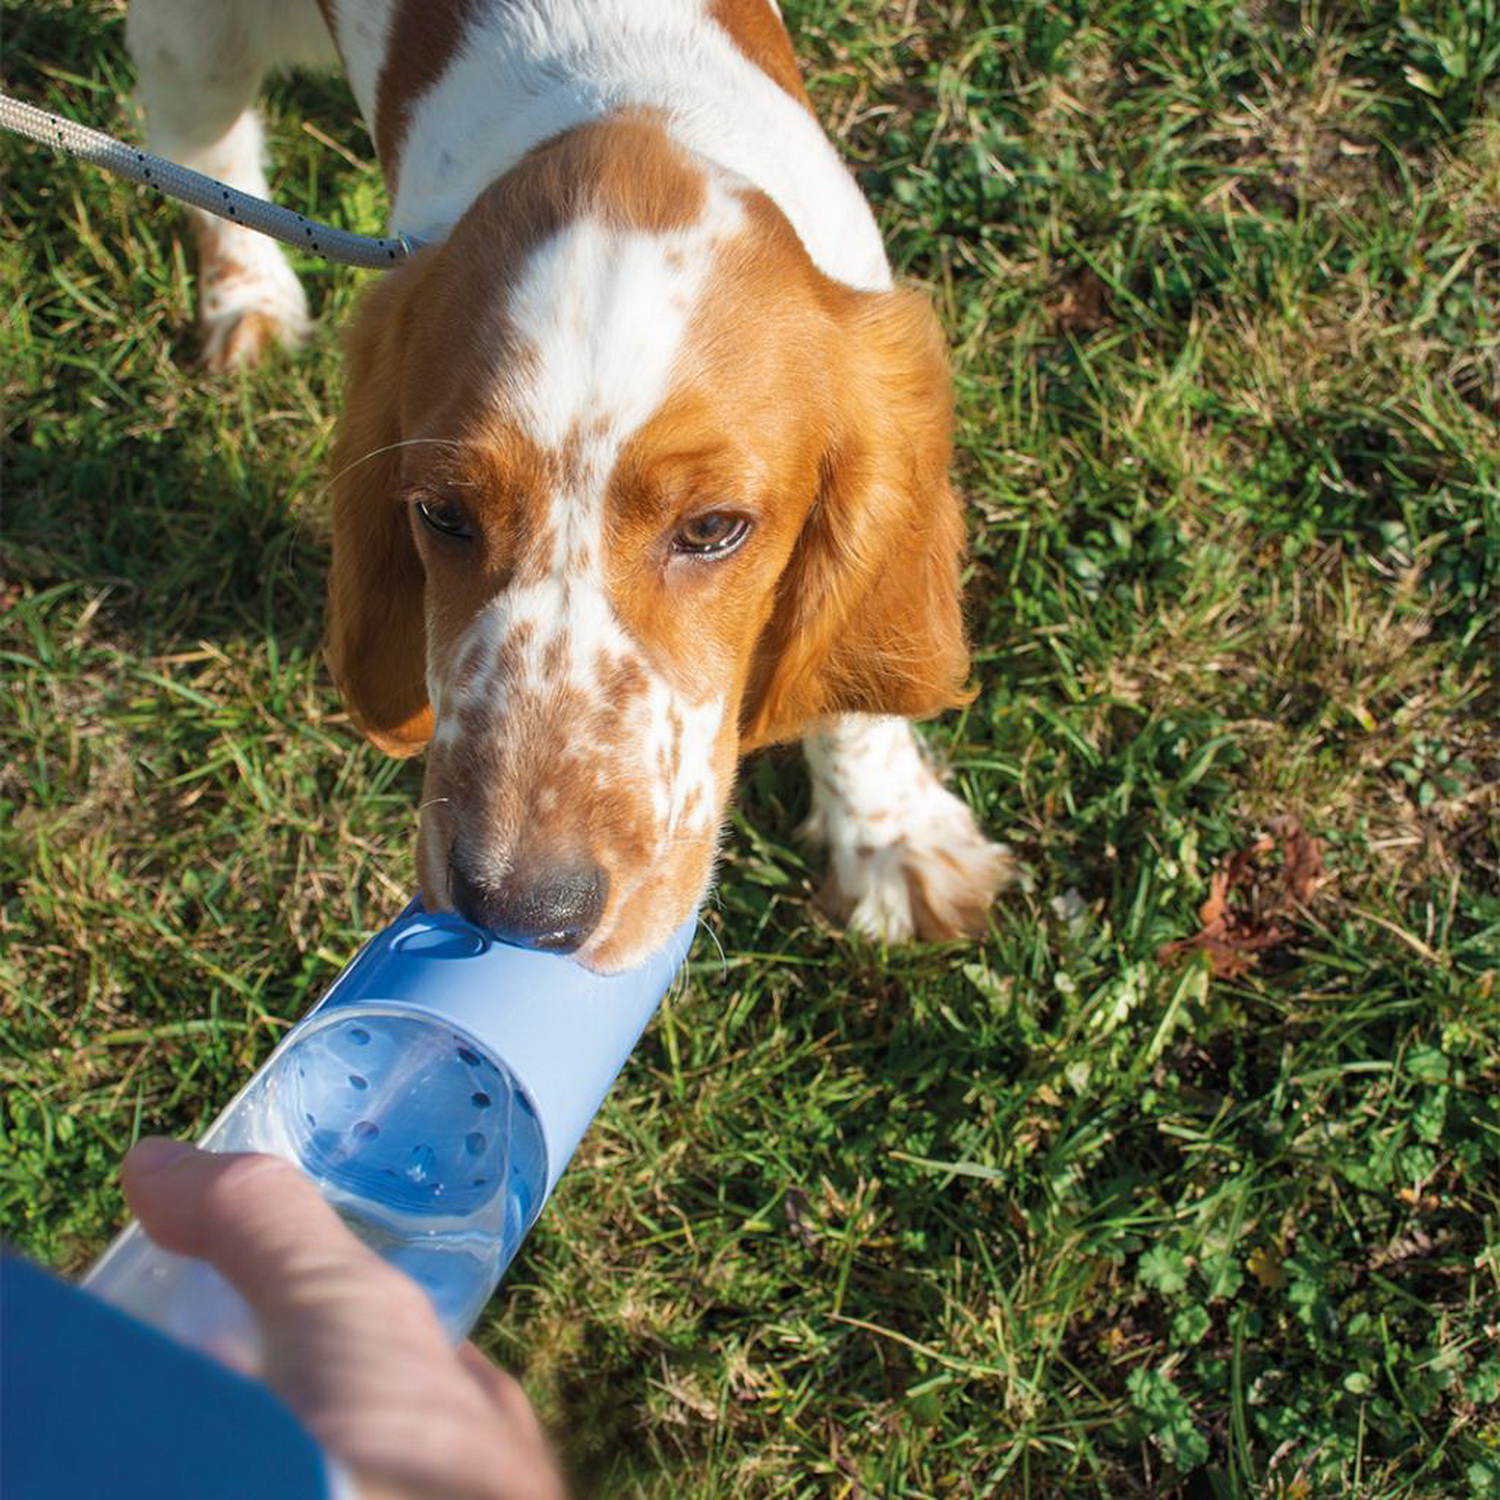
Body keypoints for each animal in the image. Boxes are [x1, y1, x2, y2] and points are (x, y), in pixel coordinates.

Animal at [129, 0, 1014, 966]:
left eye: (713, 529)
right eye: (440, 513)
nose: (520, 912)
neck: (629, 97)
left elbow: (851, 684)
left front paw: (895, 842)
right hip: (195, 44)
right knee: (203, 150)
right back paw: (248, 300)